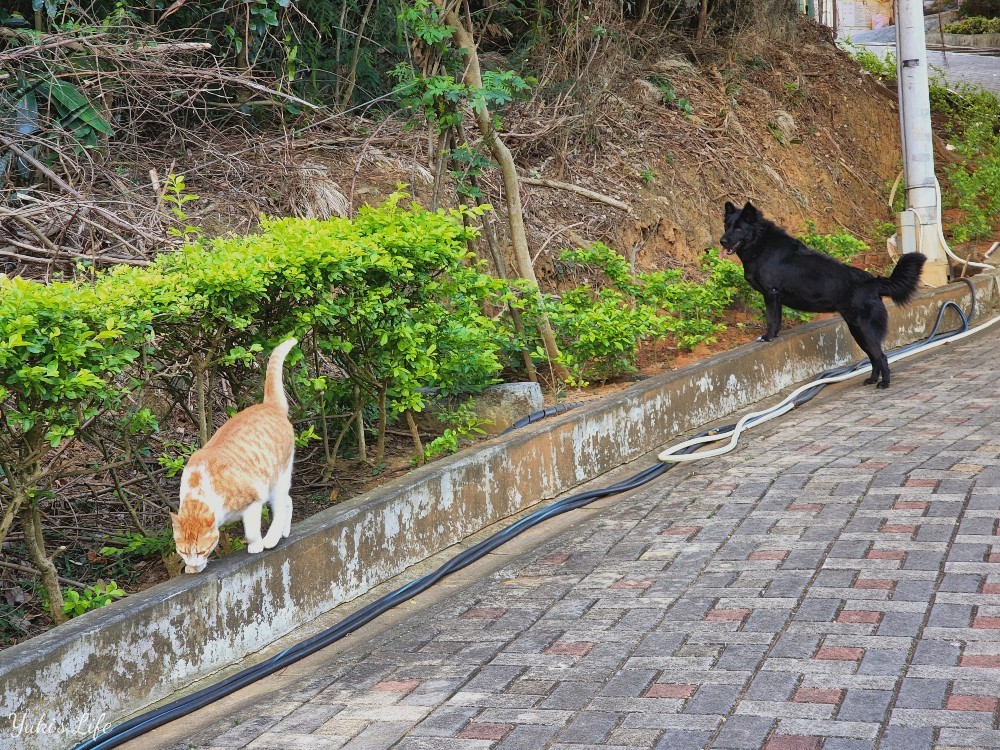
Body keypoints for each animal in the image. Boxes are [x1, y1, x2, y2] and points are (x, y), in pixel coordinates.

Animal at [173, 340, 296, 576]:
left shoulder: (254, 500)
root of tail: (269, 405)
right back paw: (284, 531)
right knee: (289, 501)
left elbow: (251, 531)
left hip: (277, 479)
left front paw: (256, 545)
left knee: (282, 504)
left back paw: (272, 538)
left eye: (201, 551)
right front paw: (191, 568)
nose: (194, 564)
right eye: (183, 552)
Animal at [720, 201, 928, 388]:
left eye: (739, 228)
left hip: (864, 330)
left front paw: (767, 336)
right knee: (873, 357)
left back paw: (884, 383)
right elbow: (777, 320)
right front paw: (775, 335)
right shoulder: (775, 297)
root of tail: (873, 281)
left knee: (881, 357)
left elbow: (771, 319)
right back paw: (872, 379)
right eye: (726, 226)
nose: (722, 241)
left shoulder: (771, 294)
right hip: (857, 331)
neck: (761, 244)